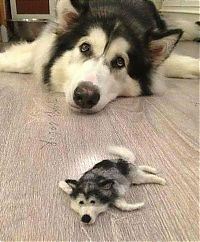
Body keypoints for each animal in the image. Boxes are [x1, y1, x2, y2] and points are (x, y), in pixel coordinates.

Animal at [0, 0, 199, 113]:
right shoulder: (43, 44)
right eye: (85, 47)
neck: (117, 12)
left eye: (120, 62)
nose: (85, 96)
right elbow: (22, 58)